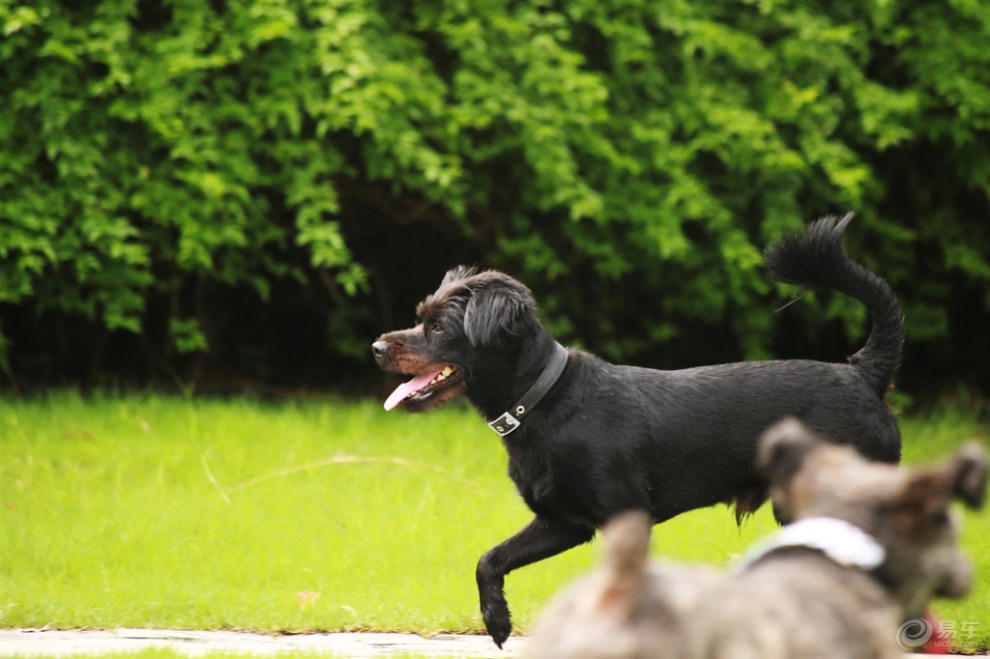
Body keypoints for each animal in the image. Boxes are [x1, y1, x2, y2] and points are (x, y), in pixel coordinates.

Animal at [372, 214, 908, 648]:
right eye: (420, 318)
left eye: (439, 328)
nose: (377, 347)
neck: (543, 401)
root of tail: (864, 373)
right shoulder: (563, 522)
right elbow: (490, 559)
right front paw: (496, 620)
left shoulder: (622, 518)